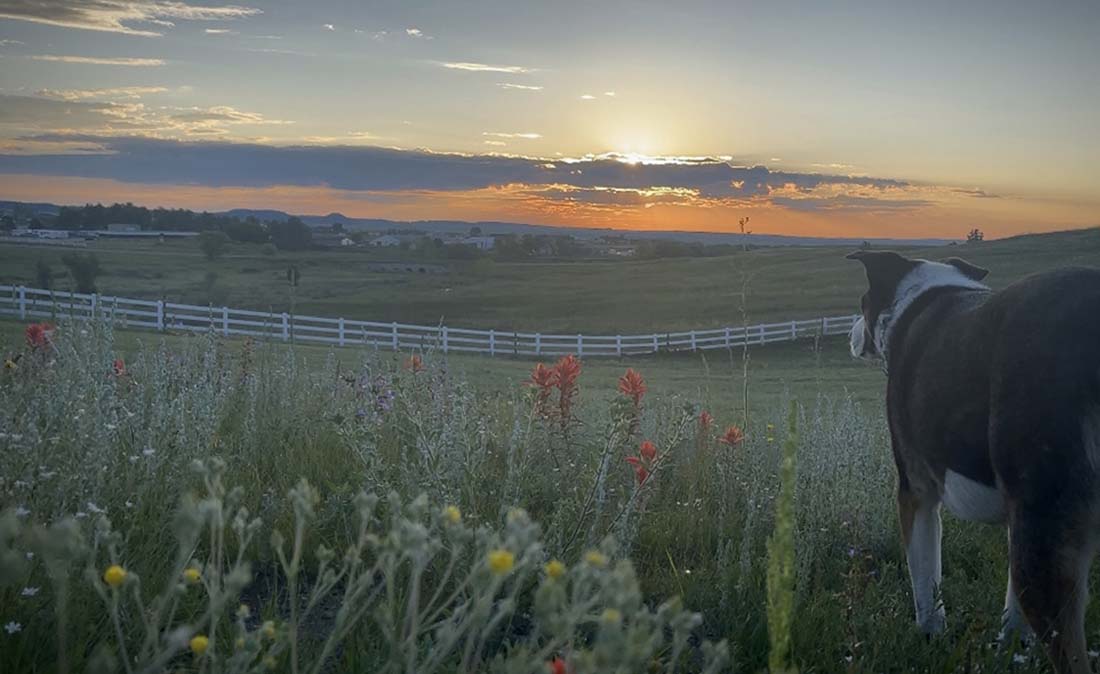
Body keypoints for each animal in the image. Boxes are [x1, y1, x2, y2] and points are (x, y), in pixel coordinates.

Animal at [849, 252, 1100, 672]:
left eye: (863, 300)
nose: (850, 332)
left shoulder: (915, 491)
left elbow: (925, 583)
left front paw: (930, 639)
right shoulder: (1018, 518)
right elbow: (1013, 615)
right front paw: (1009, 653)